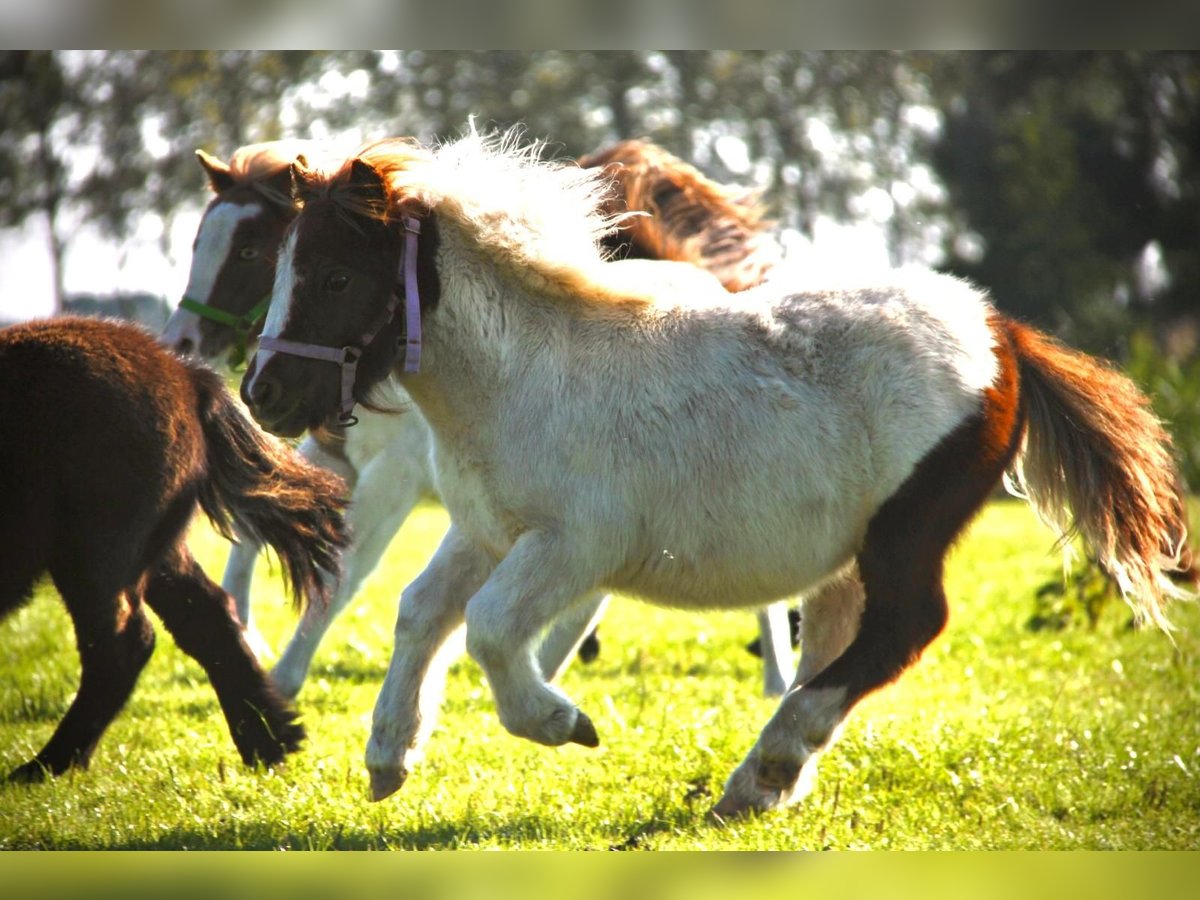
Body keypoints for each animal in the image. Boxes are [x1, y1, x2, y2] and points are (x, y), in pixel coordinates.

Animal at [0, 316, 348, 782]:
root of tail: (183, 373)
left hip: (96, 555)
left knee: (124, 642)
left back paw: (46, 765)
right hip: (153, 553)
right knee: (207, 618)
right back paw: (269, 744)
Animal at [164, 139, 811, 696]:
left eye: (250, 249)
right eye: (201, 244)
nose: (261, 390)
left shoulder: (395, 477)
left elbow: (343, 573)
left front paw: (284, 679)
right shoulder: (332, 455)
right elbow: (260, 531)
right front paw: (248, 638)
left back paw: (774, 675)